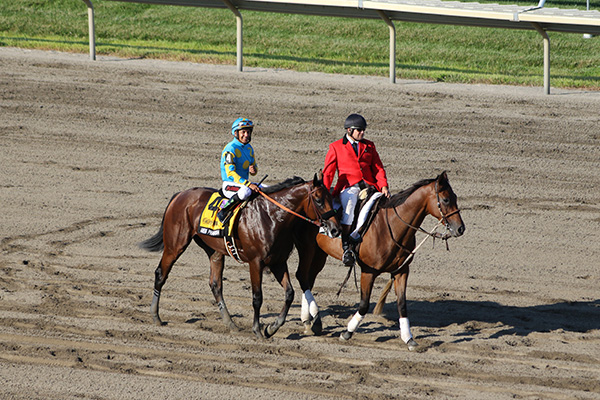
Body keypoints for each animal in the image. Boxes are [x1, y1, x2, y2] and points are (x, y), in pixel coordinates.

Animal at [138, 173, 340, 340]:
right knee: (161, 274)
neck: (271, 217)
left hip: (214, 251)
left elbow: (289, 293)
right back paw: (156, 316)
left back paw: (231, 324)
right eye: (318, 199)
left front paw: (271, 328)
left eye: (331, 198)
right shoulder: (256, 262)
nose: (335, 229)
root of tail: (180, 194)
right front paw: (258, 330)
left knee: (215, 285)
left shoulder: (278, 262)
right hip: (175, 245)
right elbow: (257, 297)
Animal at [292, 171, 466, 350]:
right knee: (302, 276)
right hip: (307, 249)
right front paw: (347, 332)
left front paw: (408, 339)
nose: (461, 228)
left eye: (455, 197)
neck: (391, 227)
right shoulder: (368, 272)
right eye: (446, 200)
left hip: (320, 254)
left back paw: (308, 320)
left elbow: (402, 305)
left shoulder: (401, 271)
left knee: (309, 279)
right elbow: (364, 304)